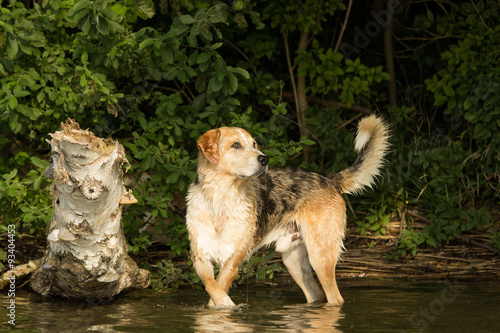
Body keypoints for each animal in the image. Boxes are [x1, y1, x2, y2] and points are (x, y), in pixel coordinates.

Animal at [187, 115, 390, 308]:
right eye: (235, 145)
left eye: (254, 144)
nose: (264, 159)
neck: (221, 199)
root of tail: (329, 180)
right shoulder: (200, 259)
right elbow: (212, 286)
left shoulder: (232, 260)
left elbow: (219, 289)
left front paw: (226, 306)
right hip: (294, 261)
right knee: (316, 295)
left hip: (320, 257)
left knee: (335, 298)